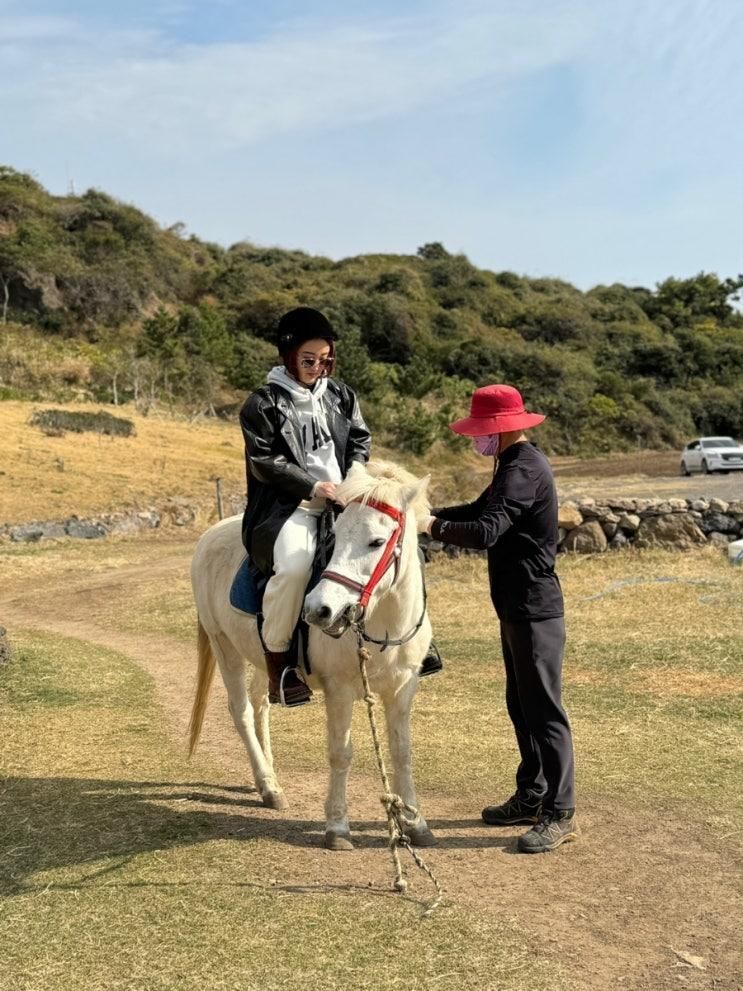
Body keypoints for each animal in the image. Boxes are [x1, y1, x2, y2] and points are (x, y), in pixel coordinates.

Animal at [187, 462, 436, 848]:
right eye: (336, 536)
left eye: (377, 541)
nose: (319, 610)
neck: (383, 621)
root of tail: (209, 535)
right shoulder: (340, 691)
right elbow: (340, 753)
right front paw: (337, 826)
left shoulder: (402, 688)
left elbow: (402, 752)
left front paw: (415, 822)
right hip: (223, 645)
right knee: (242, 712)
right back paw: (269, 785)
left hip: (262, 659)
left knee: (260, 703)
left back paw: (267, 778)